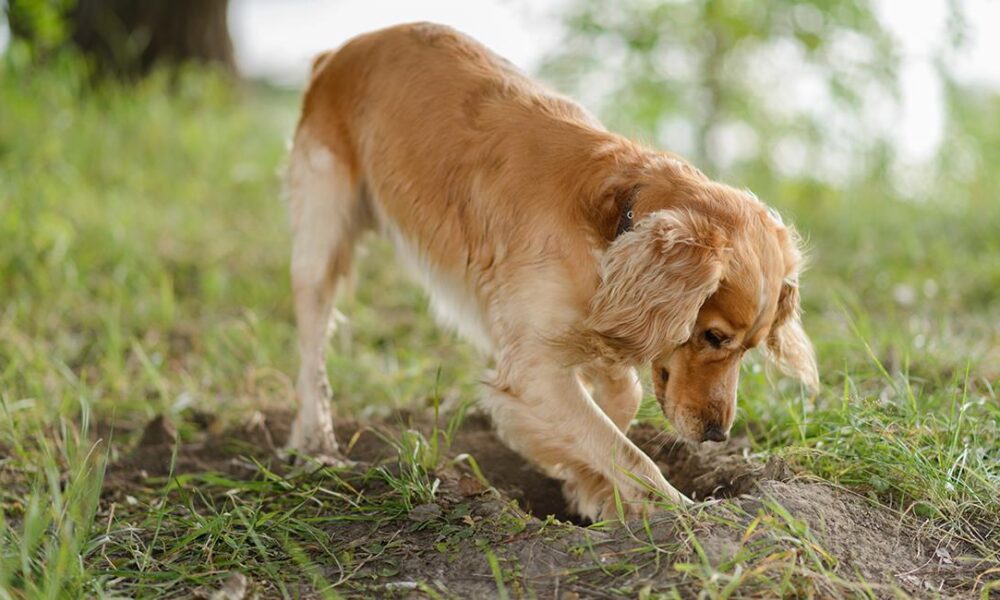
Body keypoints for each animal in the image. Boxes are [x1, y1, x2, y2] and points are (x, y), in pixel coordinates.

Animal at [284, 22, 820, 520]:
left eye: (750, 349)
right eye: (713, 337)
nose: (717, 434)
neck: (614, 225)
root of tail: (343, 50)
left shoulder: (597, 325)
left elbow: (619, 404)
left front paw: (589, 487)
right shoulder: (533, 366)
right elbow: (627, 453)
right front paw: (676, 511)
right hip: (320, 240)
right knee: (311, 353)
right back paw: (316, 443)